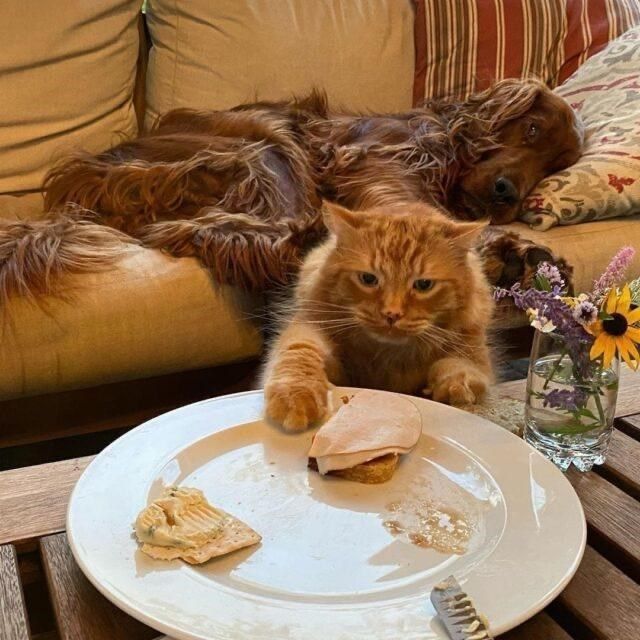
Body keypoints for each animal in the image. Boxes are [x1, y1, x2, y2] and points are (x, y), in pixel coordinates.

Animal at [262, 201, 492, 430]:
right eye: (368, 279)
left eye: (424, 285)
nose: (392, 313)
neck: (387, 355)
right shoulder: (310, 325)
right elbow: (301, 352)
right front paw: (296, 397)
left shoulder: (472, 350)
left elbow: (459, 368)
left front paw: (455, 390)